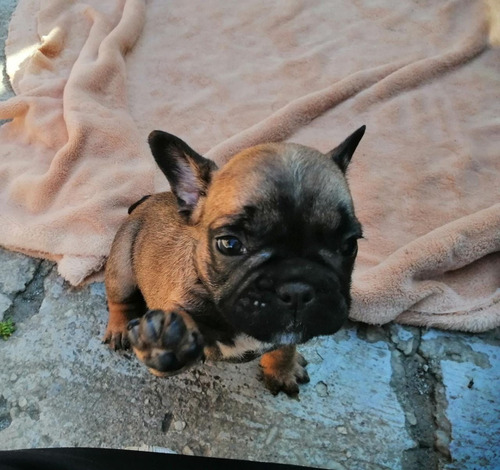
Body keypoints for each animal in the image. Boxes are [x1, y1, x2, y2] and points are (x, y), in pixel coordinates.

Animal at [105, 126, 366, 394]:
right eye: (230, 244)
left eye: (349, 245)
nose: (297, 288)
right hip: (122, 265)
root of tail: (146, 201)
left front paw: (283, 369)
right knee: (119, 298)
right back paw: (119, 327)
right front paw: (168, 339)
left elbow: (287, 344)